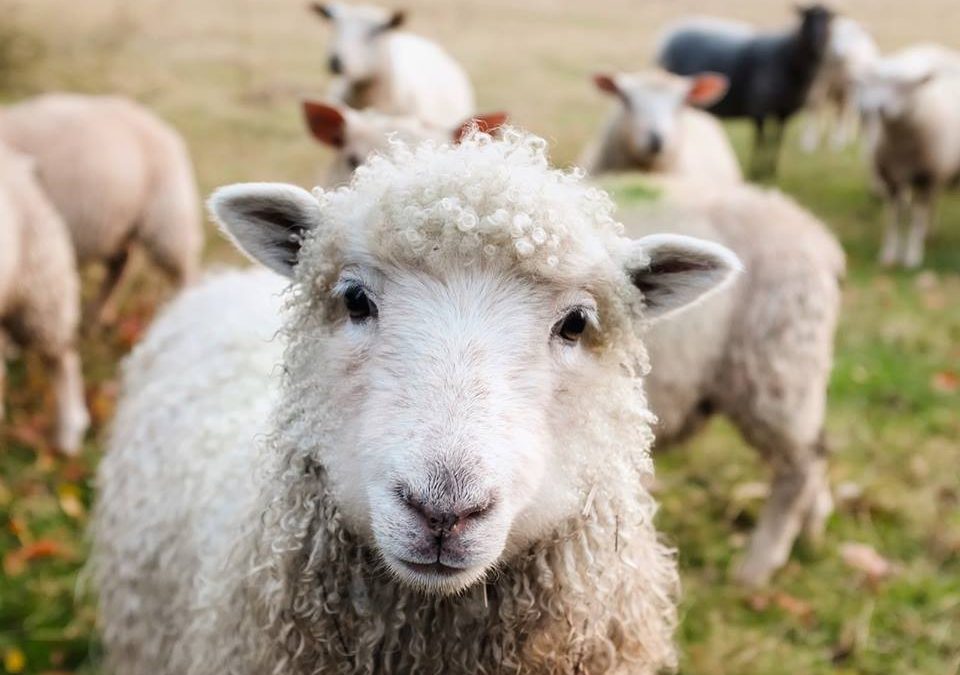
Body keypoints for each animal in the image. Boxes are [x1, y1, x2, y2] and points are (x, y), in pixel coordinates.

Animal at [0, 93, 203, 324]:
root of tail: (159, 124)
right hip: (116, 224)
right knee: (120, 264)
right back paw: (98, 314)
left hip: (168, 218)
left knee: (185, 270)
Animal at [606, 174, 845, 586]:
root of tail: (819, 236)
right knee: (816, 451)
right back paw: (812, 531)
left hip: (775, 365)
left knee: (802, 465)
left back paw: (758, 566)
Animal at [657, 5, 834, 177]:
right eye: (808, 17)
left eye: (829, 20)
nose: (818, 41)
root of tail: (670, 32)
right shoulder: (759, 108)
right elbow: (760, 141)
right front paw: (757, 170)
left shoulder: (784, 112)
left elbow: (776, 140)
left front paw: (771, 170)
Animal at [800, 16, 879, 153]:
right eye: (833, 36)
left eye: (851, 38)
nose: (839, 52)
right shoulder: (820, 81)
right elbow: (814, 104)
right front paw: (808, 142)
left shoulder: (849, 89)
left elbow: (844, 112)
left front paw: (838, 142)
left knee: (849, 112)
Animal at [856, 45, 960, 268]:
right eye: (876, 83)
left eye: (904, 87)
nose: (879, 108)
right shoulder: (891, 180)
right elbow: (894, 218)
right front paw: (888, 254)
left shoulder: (925, 178)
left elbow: (916, 218)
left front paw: (912, 256)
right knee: (933, 202)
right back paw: (930, 233)